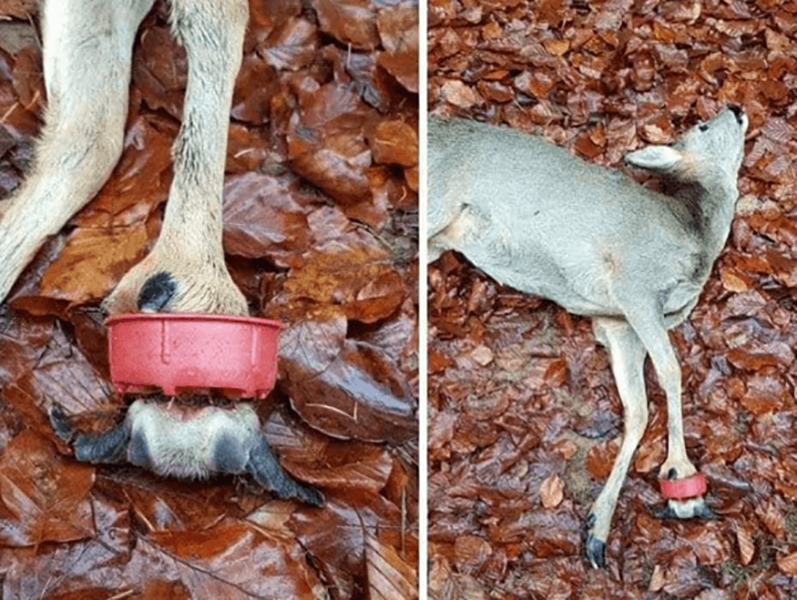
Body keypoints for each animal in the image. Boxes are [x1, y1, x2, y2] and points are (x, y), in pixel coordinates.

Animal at [430, 105, 748, 568]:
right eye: (703, 126)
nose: (736, 108)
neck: (694, 236)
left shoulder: (617, 323)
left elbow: (637, 408)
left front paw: (598, 528)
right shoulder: (635, 283)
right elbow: (671, 372)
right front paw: (682, 480)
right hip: (438, 200)